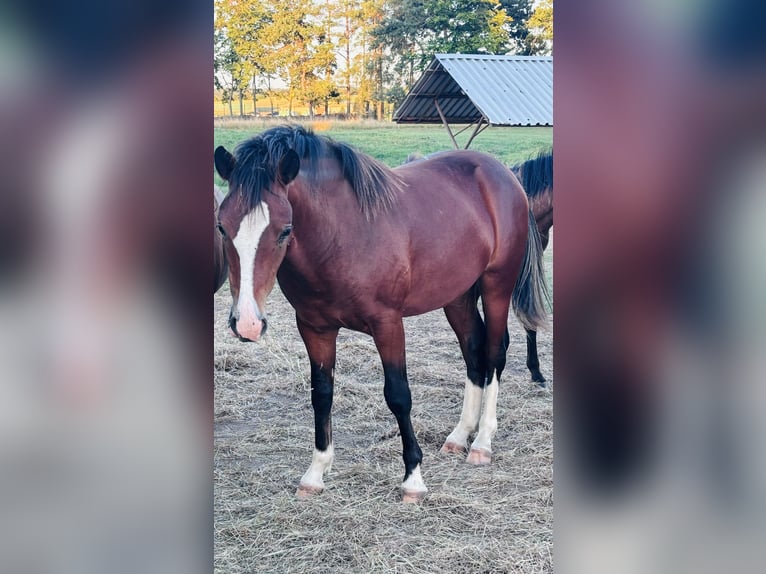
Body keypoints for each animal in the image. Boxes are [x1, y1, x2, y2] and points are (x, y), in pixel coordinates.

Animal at [216, 126, 548, 504]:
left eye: (285, 229)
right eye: (222, 227)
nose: (247, 323)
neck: (342, 235)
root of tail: (503, 173)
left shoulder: (387, 324)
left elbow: (399, 395)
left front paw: (413, 479)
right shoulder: (314, 327)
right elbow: (322, 394)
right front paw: (315, 473)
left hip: (496, 287)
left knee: (494, 353)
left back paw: (482, 442)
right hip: (457, 297)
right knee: (474, 353)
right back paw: (460, 435)